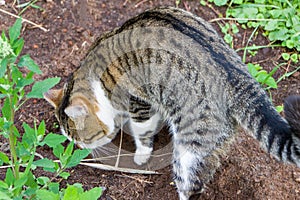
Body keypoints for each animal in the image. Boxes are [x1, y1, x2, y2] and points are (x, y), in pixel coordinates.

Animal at [44, 6, 300, 200]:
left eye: (79, 138)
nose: (79, 148)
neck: (95, 79)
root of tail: (236, 77)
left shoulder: (139, 101)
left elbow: (142, 134)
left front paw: (140, 156)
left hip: (189, 146)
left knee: (190, 184)